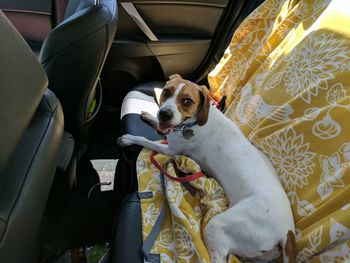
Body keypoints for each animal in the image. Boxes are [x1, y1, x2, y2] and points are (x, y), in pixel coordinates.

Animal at [117, 75, 296, 263]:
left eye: (187, 101)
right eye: (166, 91)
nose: (164, 114)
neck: (193, 124)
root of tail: (287, 231)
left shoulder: (171, 150)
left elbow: (146, 140)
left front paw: (129, 139)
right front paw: (150, 116)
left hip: (218, 226)